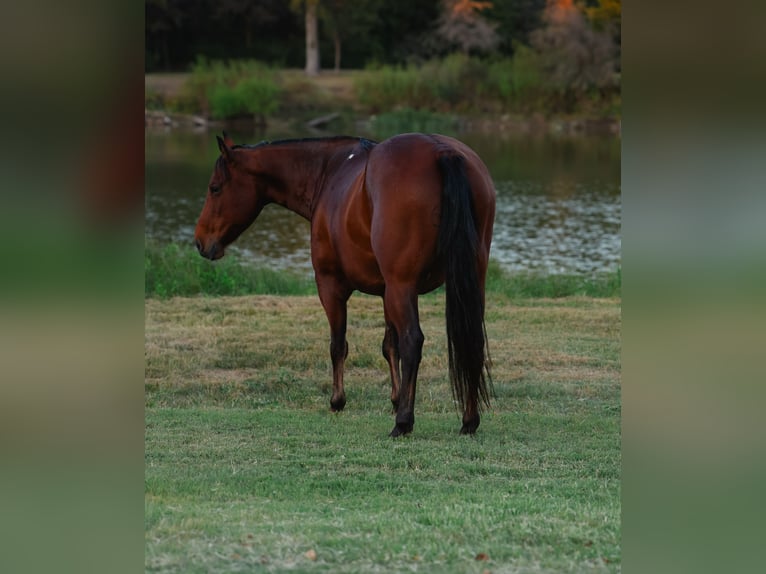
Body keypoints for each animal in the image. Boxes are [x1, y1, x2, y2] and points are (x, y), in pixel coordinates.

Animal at [194, 132, 495, 437]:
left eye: (215, 188)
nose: (200, 241)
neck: (329, 172)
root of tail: (442, 151)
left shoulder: (331, 286)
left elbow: (338, 345)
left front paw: (338, 400)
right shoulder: (386, 292)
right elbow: (390, 346)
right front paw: (396, 398)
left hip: (403, 287)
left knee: (413, 340)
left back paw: (404, 423)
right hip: (465, 284)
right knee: (471, 340)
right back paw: (468, 420)